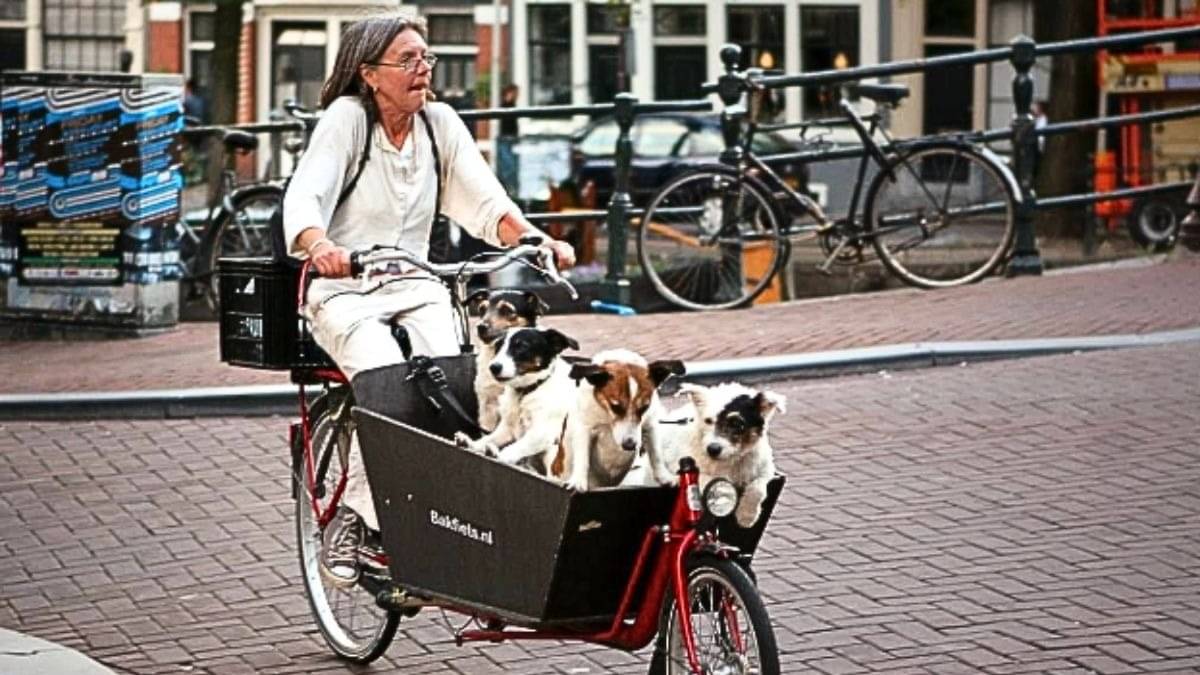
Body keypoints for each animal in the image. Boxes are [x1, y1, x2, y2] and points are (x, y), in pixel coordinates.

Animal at [455, 327, 579, 470]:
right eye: (498, 346)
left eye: (522, 346)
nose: (493, 367)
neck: (526, 391)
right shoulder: (507, 429)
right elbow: (487, 438)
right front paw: (472, 444)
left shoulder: (543, 433)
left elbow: (514, 448)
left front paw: (498, 455)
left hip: (553, 452)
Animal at [555, 350, 685, 491]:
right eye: (615, 406)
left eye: (644, 407)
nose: (629, 445)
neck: (606, 415)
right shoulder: (585, 429)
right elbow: (582, 457)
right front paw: (578, 481)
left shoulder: (650, 426)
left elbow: (656, 455)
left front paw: (664, 477)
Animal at [657, 382, 786, 528]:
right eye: (708, 421)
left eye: (737, 423)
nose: (712, 449)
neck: (728, 460)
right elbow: (719, 485)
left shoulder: (766, 470)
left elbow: (758, 488)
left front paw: (747, 515)